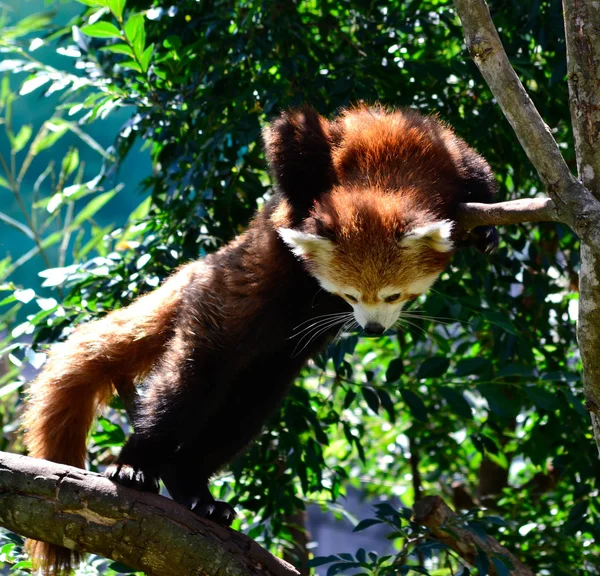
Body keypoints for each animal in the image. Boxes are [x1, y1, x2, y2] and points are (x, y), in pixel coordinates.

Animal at [19, 104, 496, 576]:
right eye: (348, 296)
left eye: (394, 296)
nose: (372, 328)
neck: (386, 164)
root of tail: (204, 265)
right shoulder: (318, 143)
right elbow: (290, 146)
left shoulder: (442, 148)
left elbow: (480, 175)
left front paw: (486, 232)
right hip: (221, 307)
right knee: (188, 384)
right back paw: (135, 464)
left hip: (273, 361)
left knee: (246, 408)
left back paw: (192, 487)